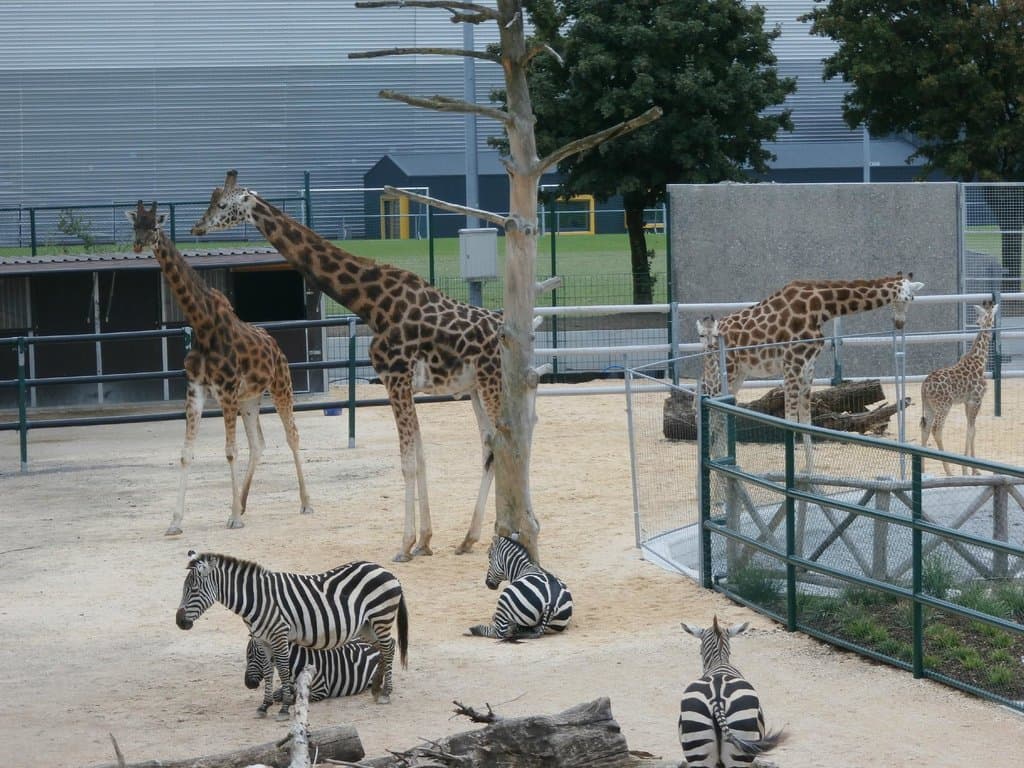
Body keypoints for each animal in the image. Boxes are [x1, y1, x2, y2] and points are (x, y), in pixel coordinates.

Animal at [126, 201, 313, 534]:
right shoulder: (196, 391)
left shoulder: (225, 391)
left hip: (281, 385)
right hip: (250, 398)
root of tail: (276, 347)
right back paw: (243, 503)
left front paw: (235, 518)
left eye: (155, 225)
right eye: (136, 224)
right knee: (258, 443)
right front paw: (175, 522)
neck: (202, 324)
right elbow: (186, 453)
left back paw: (305, 503)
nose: (138, 244)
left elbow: (230, 450)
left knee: (292, 435)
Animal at [190, 171, 502, 562]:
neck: (372, 303)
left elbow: (407, 460)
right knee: (492, 446)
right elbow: (420, 456)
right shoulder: (405, 385)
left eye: (222, 204)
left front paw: (404, 545)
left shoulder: (395, 378)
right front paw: (425, 541)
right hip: (476, 388)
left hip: (494, 382)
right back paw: (470, 538)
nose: (197, 227)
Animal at [700, 273, 925, 470]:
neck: (822, 307)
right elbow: (790, 419)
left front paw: (810, 473)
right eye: (908, 298)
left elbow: (806, 420)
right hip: (725, 370)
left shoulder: (808, 366)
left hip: (739, 374)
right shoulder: (792, 363)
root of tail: (708, 337)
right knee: (708, 407)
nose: (899, 323)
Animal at [920, 300, 999, 475]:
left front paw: (972, 470)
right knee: (937, 429)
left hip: (929, 406)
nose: (978, 322)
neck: (980, 361)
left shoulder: (966, 402)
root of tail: (924, 387)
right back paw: (949, 472)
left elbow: (972, 429)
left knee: (925, 428)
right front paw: (969, 470)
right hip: (944, 405)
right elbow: (971, 430)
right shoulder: (976, 400)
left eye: (981, 316)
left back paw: (921, 471)